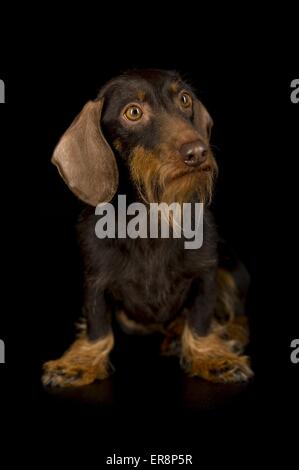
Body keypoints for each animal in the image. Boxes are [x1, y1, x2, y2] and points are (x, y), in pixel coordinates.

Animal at [41, 69, 253, 386]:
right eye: (133, 112)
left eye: (185, 99)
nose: (198, 152)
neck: (150, 220)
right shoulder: (95, 282)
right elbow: (98, 328)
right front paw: (81, 362)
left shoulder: (206, 274)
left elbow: (201, 320)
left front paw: (212, 357)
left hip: (231, 269)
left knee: (238, 314)